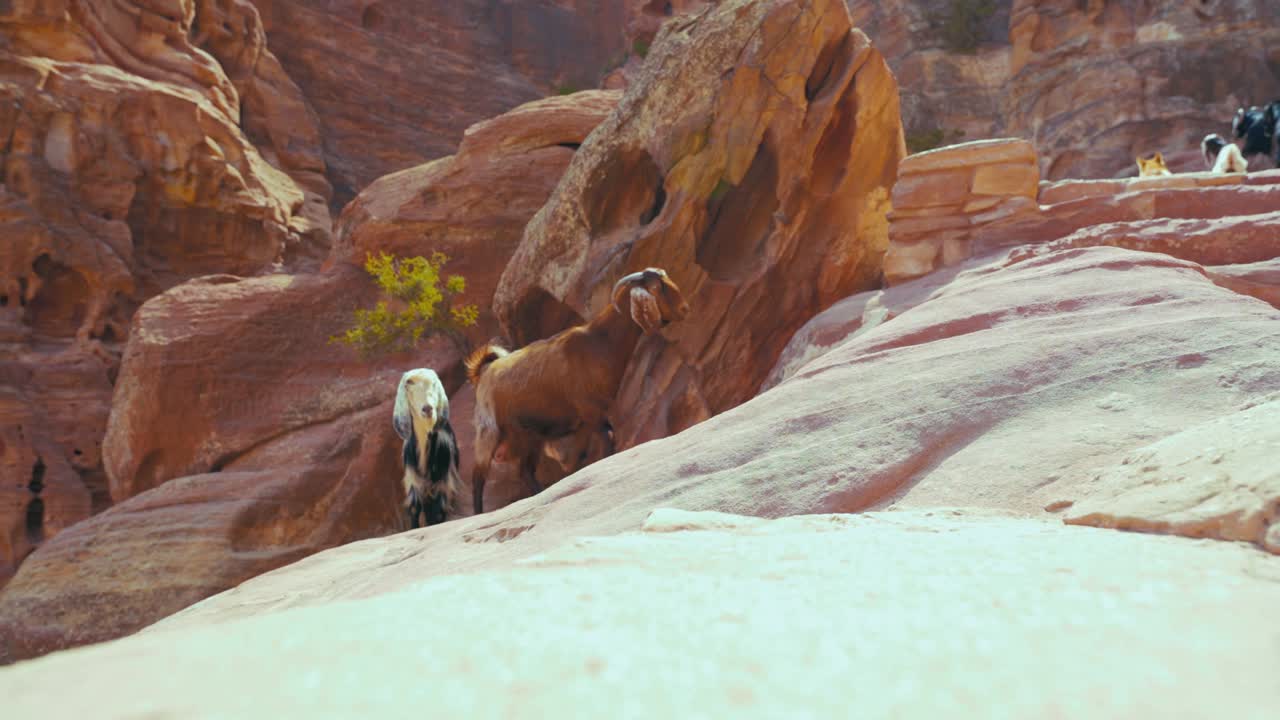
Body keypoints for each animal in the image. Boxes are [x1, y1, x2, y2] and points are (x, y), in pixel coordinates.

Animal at [392, 368, 461, 528]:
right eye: (409, 383)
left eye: (434, 383)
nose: (427, 408)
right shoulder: (413, 480)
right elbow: (414, 508)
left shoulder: (444, 480)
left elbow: (438, 512)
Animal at [465, 268, 690, 514]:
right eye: (657, 288)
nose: (684, 309)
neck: (599, 342)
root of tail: (484, 372)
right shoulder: (590, 411)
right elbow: (608, 440)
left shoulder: (590, 418)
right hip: (490, 433)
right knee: (478, 477)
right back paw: (478, 512)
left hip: (529, 435)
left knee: (525, 470)